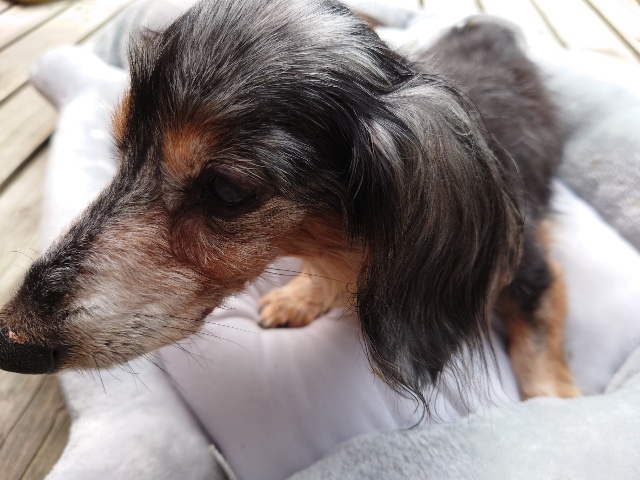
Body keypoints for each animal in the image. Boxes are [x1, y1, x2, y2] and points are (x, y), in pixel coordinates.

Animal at [0, 0, 578, 407]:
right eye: (121, 149)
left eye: (228, 191)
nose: (11, 342)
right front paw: (302, 295)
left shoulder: (528, 266)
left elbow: (537, 336)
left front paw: (553, 401)